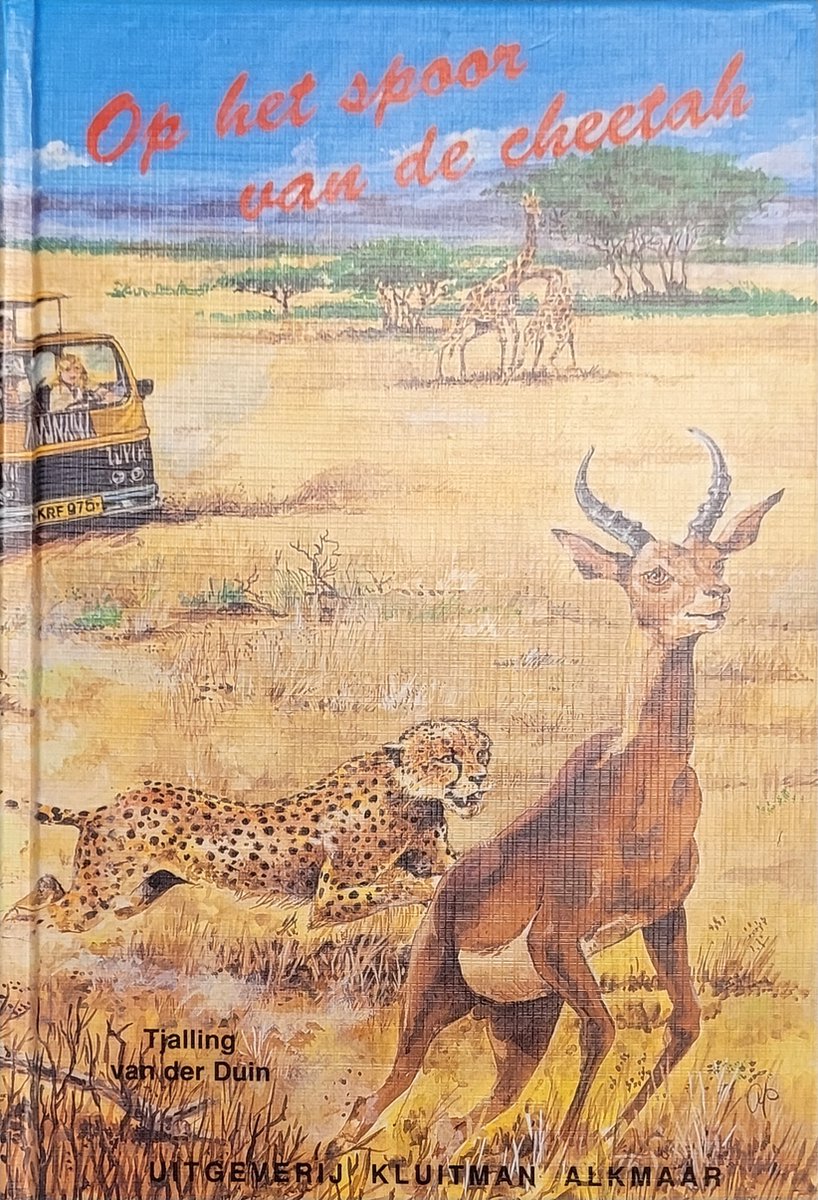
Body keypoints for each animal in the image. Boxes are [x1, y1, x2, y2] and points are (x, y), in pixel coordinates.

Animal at [5, 719, 492, 933]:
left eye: (481, 751)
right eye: (448, 757)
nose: (482, 778)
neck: (414, 794)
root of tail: (106, 805)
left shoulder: (434, 853)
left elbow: (452, 865)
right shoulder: (329, 898)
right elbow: (397, 885)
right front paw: (430, 892)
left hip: (135, 891)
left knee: (56, 891)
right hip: (97, 895)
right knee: (55, 912)